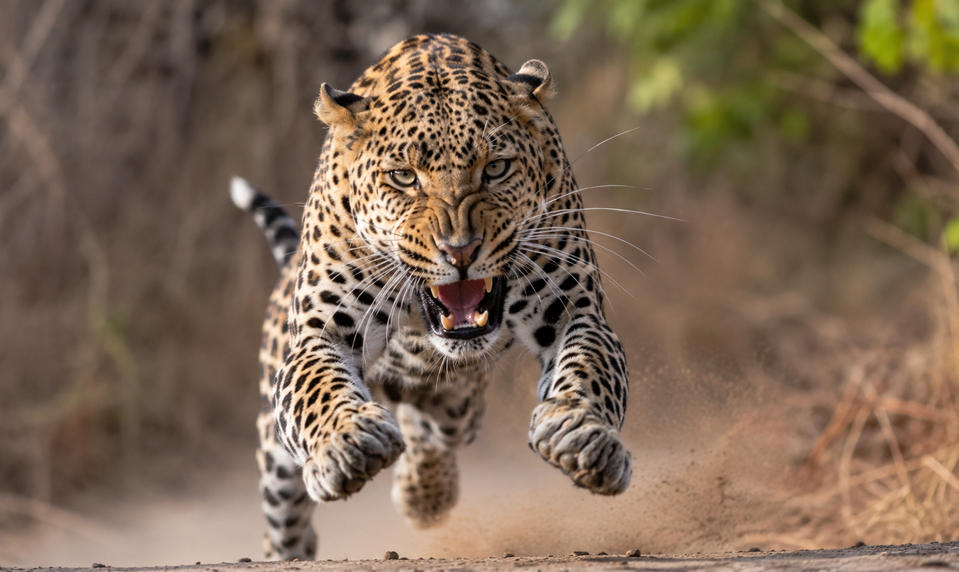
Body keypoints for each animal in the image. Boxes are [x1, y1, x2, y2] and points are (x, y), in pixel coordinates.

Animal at [232, 33, 632, 561]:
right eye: (404, 177)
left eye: (496, 169)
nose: (459, 249)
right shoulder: (321, 334)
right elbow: (321, 390)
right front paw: (347, 443)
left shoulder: (576, 312)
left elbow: (590, 370)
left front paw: (585, 437)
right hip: (275, 446)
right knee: (285, 513)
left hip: (455, 401)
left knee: (431, 425)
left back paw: (424, 496)